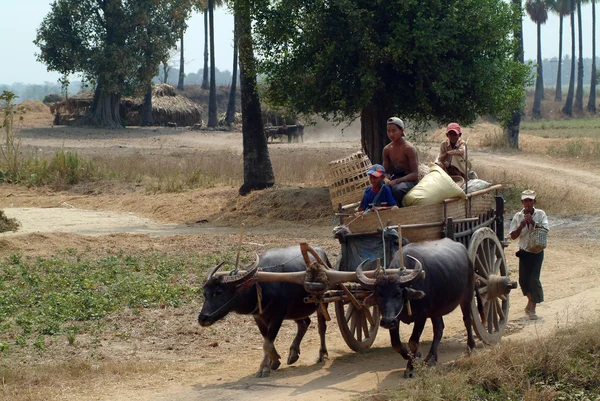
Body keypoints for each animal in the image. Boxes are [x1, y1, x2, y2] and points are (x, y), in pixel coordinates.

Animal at [198, 245, 330, 376]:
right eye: (205, 294)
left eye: (219, 292)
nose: (202, 318)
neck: (259, 285)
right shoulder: (259, 317)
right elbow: (266, 338)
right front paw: (275, 361)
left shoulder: (278, 316)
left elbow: (267, 343)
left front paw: (264, 368)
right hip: (295, 310)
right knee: (304, 323)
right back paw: (293, 353)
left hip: (322, 302)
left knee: (321, 327)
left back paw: (322, 354)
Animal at [356, 238, 482, 376]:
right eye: (379, 294)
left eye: (398, 294)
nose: (387, 321)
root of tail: (466, 253)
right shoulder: (396, 318)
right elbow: (396, 344)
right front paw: (412, 356)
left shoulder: (422, 316)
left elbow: (413, 342)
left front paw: (411, 367)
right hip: (436, 309)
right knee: (439, 329)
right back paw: (431, 358)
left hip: (467, 296)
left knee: (467, 320)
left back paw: (470, 347)